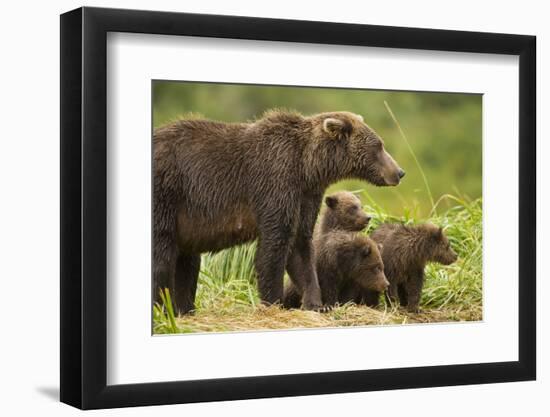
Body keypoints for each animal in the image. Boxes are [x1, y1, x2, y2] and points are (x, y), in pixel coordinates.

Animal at [154, 109, 406, 312]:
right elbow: (275, 244)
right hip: (168, 194)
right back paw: (163, 309)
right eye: (379, 146)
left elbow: (301, 248)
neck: (307, 167)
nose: (399, 172)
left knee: (186, 263)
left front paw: (315, 303)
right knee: (162, 256)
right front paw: (274, 301)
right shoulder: (275, 183)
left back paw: (184, 309)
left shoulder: (305, 196)